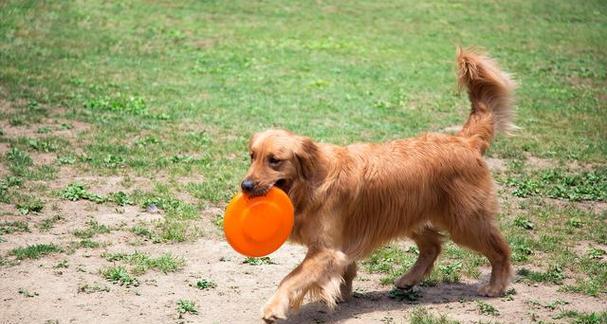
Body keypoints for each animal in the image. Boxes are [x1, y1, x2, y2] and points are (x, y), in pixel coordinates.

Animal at [240, 47, 516, 322]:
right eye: (252, 156)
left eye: (274, 160)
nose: (245, 185)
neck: (313, 182)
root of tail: (465, 141)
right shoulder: (342, 243)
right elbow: (345, 268)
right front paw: (344, 292)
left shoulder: (326, 250)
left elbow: (291, 278)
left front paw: (274, 308)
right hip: (411, 213)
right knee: (433, 246)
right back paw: (408, 279)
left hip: (465, 220)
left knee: (499, 249)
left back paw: (496, 286)